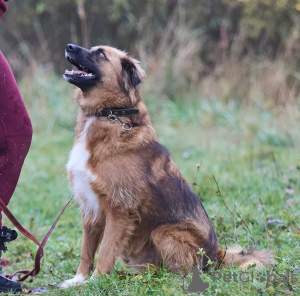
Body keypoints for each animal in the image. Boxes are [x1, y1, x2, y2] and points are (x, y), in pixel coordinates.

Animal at [59, 44, 274, 286]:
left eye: (101, 53)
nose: (69, 46)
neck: (108, 114)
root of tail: (215, 257)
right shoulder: (90, 209)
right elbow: (86, 251)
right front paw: (78, 280)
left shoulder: (119, 210)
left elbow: (105, 252)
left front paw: (96, 281)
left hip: (164, 231)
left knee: (183, 271)